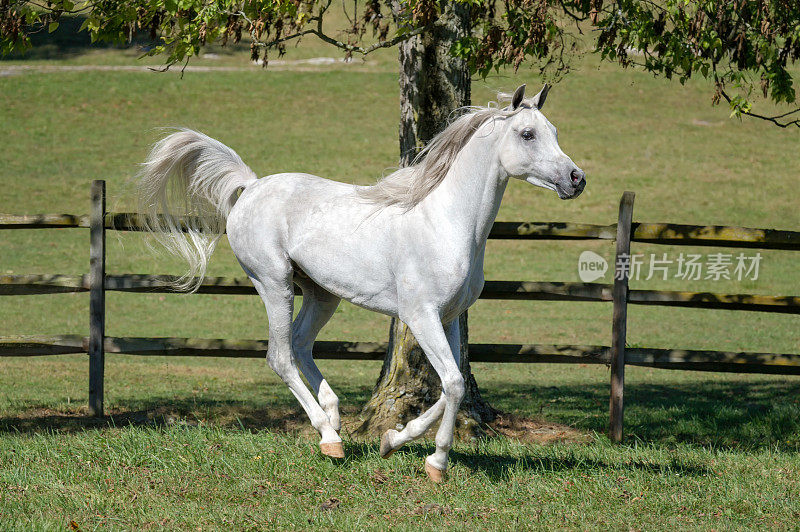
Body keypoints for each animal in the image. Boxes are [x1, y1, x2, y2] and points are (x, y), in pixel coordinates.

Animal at [138, 84, 584, 482]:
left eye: (554, 130)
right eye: (527, 134)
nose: (576, 179)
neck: (445, 223)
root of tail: (251, 186)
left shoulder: (451, 316)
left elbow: (448, 386)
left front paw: (393, 440)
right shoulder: (420, 316)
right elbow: (455, 384)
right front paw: (436, 463)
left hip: (321, 294)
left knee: (300, 343)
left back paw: (333, 417)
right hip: (273, 283)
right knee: (280, 356)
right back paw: (329, 438)